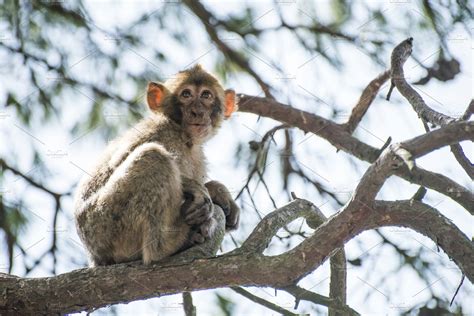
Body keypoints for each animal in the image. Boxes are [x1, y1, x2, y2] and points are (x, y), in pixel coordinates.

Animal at [74, 65, 241, 266]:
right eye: (186, 94)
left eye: (206, 95)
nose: (198, 112)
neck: (184, 136)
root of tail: (95, 257)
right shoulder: (159, 131)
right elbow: (119, 161)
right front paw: (195, 188)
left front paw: (219, 192)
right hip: (105, 225)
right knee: (154, 157)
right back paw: (165, 247)